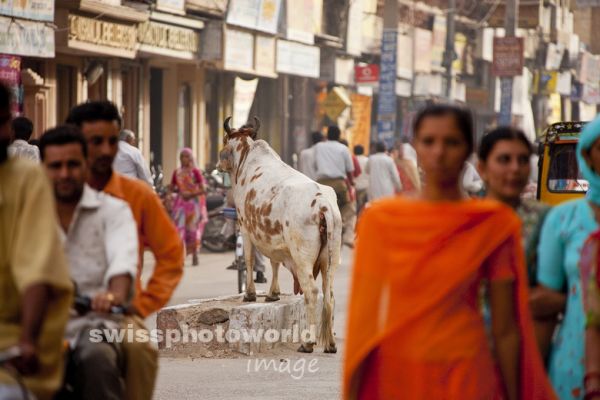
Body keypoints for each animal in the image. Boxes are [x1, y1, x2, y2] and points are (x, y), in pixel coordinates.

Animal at [217, 116, 342, 354]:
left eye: (226, 141)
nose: (218, 165)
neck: (247, 158)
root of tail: (323, 204)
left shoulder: (245, 226)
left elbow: (249, 260)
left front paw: (250, 293)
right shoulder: (272, 238)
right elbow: (273, 262)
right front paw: (272, 293)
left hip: (302, 258)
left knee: (312, 292)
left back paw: (308, 342)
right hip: (330, 259)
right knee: (329, 294)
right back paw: (330, 343)